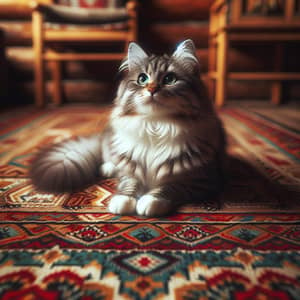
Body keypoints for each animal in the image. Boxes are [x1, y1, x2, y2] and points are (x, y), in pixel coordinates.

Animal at [31, 39, 227, 217]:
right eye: (142, 79)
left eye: (170, 79)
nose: (152, 89)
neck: (156, 125)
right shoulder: (131, 169)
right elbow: (129, 183)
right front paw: (122, 201)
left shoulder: (202, 181)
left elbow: (170, 187)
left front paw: (150, 201)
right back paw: (108, 168)